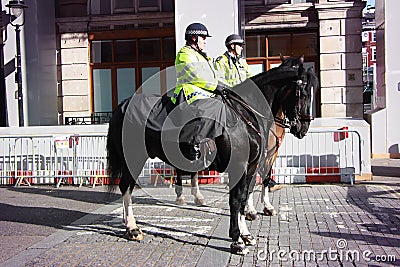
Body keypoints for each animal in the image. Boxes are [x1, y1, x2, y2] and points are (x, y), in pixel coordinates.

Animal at [108, 60, 314, 255]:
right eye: (303, 94)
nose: (303, 129)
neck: (245, 116)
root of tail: (123, 105)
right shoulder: (239, 167)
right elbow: (235, 201)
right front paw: (236, 241)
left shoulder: (250, 167)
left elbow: (243, 198)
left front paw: (246, 234)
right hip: (134, 158)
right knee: (126, 187)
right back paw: (132, 228)